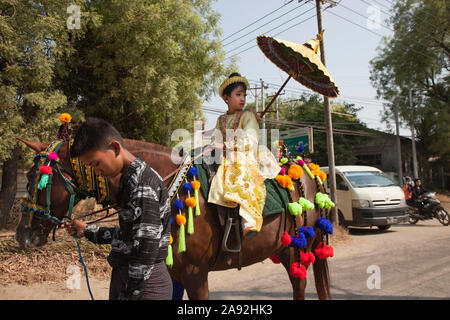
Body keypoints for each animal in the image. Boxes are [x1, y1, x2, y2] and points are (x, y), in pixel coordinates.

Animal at [15, 138, 330, 300]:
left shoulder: (195, 275)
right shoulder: (175, 274)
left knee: (300, 286)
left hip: (299, 249)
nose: (22, 235)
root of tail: (306, 167)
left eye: (35, 179)